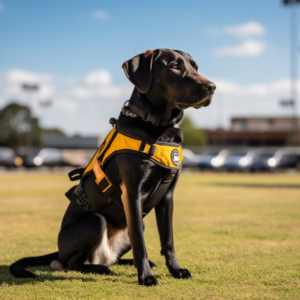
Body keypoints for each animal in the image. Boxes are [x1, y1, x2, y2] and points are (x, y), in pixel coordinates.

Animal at [9, 48, 216, 286]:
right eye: (174, 66)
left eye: (195, 67)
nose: (212, 87)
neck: (159, 129)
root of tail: (58, 252)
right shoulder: (132, 194)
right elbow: (140, 243)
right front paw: (146, 277)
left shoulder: (167, 196)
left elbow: (168, 239)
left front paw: (176, 270)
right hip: (94, 222)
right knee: (71, 264)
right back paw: (100, 268)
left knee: (110, 257)